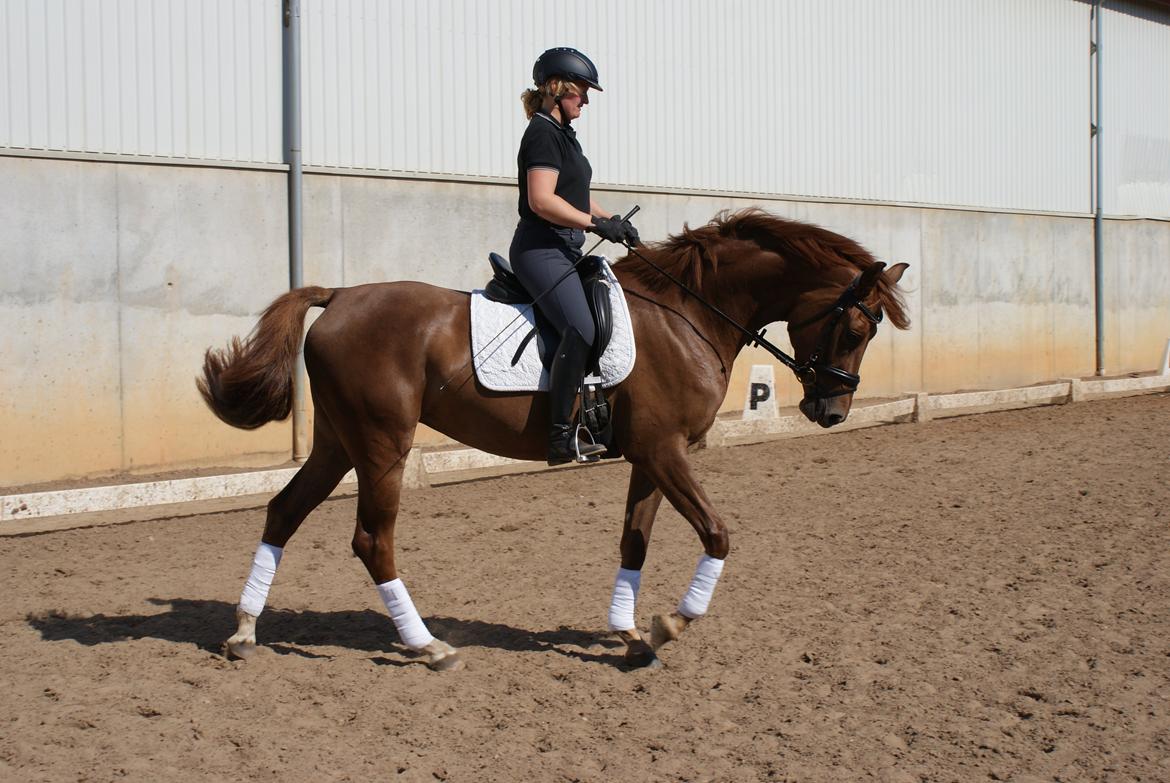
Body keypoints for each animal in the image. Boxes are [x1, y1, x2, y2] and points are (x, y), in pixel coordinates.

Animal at [198, 209, 912, 674]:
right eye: (856, 326)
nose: (832, 411)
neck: (690, 315)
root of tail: (340, 295)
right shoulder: (666, 451)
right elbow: (717, 535)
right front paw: (670, 624)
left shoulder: (651, 455)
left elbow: (634, 541)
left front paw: (630, 633)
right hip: (381, 446)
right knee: (372, 540)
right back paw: (428, 646)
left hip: (338, 444)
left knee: (283, 512)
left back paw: (243, 633)